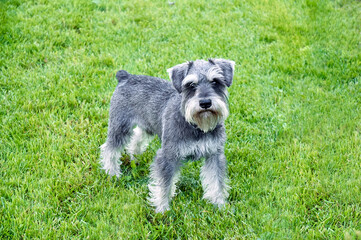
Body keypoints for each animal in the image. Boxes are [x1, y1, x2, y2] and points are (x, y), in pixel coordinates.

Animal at [99, 59, 233, 213]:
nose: (205, 103)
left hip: (147, 126)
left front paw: (220, 205)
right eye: (191, 85)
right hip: (120, 127)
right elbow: (164, 184)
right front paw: (162, 209)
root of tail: (125, 76)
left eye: (216, 82)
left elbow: (216, 181)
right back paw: (112, 173)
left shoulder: (214, 155)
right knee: (109, 148)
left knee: (137, 137)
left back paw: (135, 157)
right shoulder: (168, 155)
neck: (196, 125)